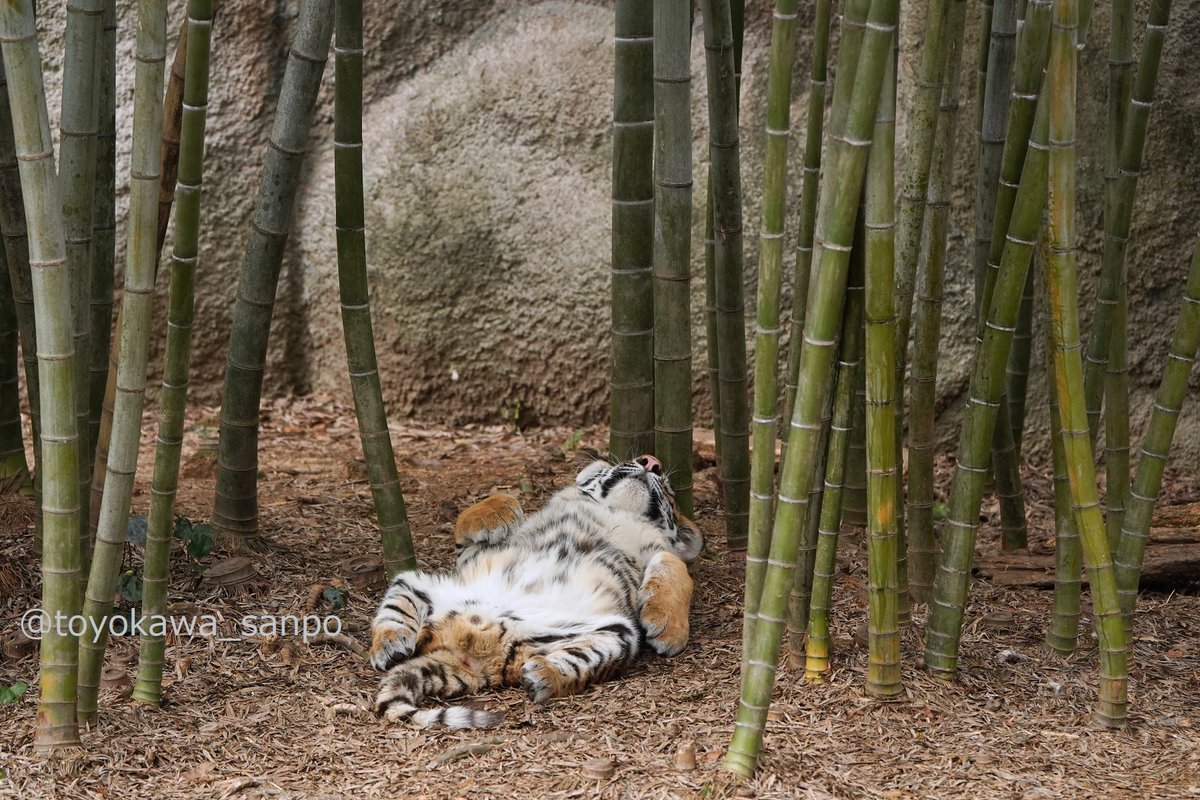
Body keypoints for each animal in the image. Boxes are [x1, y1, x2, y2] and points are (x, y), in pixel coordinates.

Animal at [364, 453, 700, 729]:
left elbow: (674, 563)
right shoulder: (472, 556)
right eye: (635, 459)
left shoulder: (656, 554)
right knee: (393, 615)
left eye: (669, 490)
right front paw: (501, 513)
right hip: (416, 583)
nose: (651, 461)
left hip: (617, 634)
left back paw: (543, 675)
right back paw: (390, 646)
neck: (616, 511)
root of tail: (474, 656)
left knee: (580, 661)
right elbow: (486, 505)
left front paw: (668, 630)